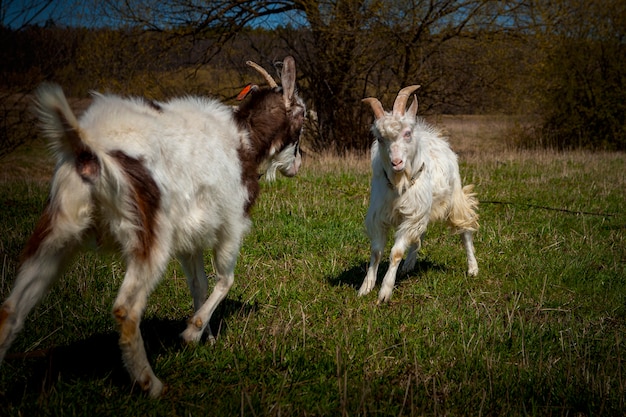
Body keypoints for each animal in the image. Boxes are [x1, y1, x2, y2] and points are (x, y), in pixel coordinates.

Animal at [0, 57, 304, 394]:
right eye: (302, 116)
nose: (298, 164)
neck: (244, 140)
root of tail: (88, 147)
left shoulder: (190, 240)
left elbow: (199, 285)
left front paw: (207, 337)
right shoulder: (232, 225)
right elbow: (226, 280)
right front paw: (192, 333)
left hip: (59, 228)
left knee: (12, 308)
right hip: (151, 237)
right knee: (126, 309)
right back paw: (151, 384)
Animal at [356, 85, 478, 302]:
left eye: (407, 133)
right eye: (380, 138)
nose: (396, 162)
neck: (399, 183)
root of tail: (435, 137)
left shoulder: (412, 215)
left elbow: (396, 252)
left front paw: (385, 292)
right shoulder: (380, 216)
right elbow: (377, 251)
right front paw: (366, 287)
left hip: (454, 199)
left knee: (465, 230)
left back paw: (472, 268)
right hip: (424, 209)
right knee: (419, 234)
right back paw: (409, 263)